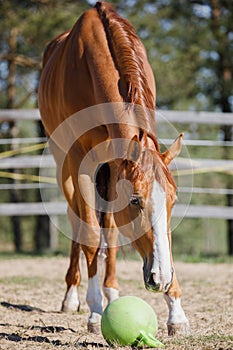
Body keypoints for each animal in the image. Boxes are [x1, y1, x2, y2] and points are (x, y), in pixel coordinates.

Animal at [38, 0, 189, 334]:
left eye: (173, 201)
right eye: (135, 201)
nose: (161, 278)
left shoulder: (115, 164)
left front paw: (177, 313)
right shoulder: (79, 160)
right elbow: (91, 235)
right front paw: (95, 312)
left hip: (107, 170)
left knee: (109, 231)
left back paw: (112, 291)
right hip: (64, 164)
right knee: (78, 220)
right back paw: (74, 297)